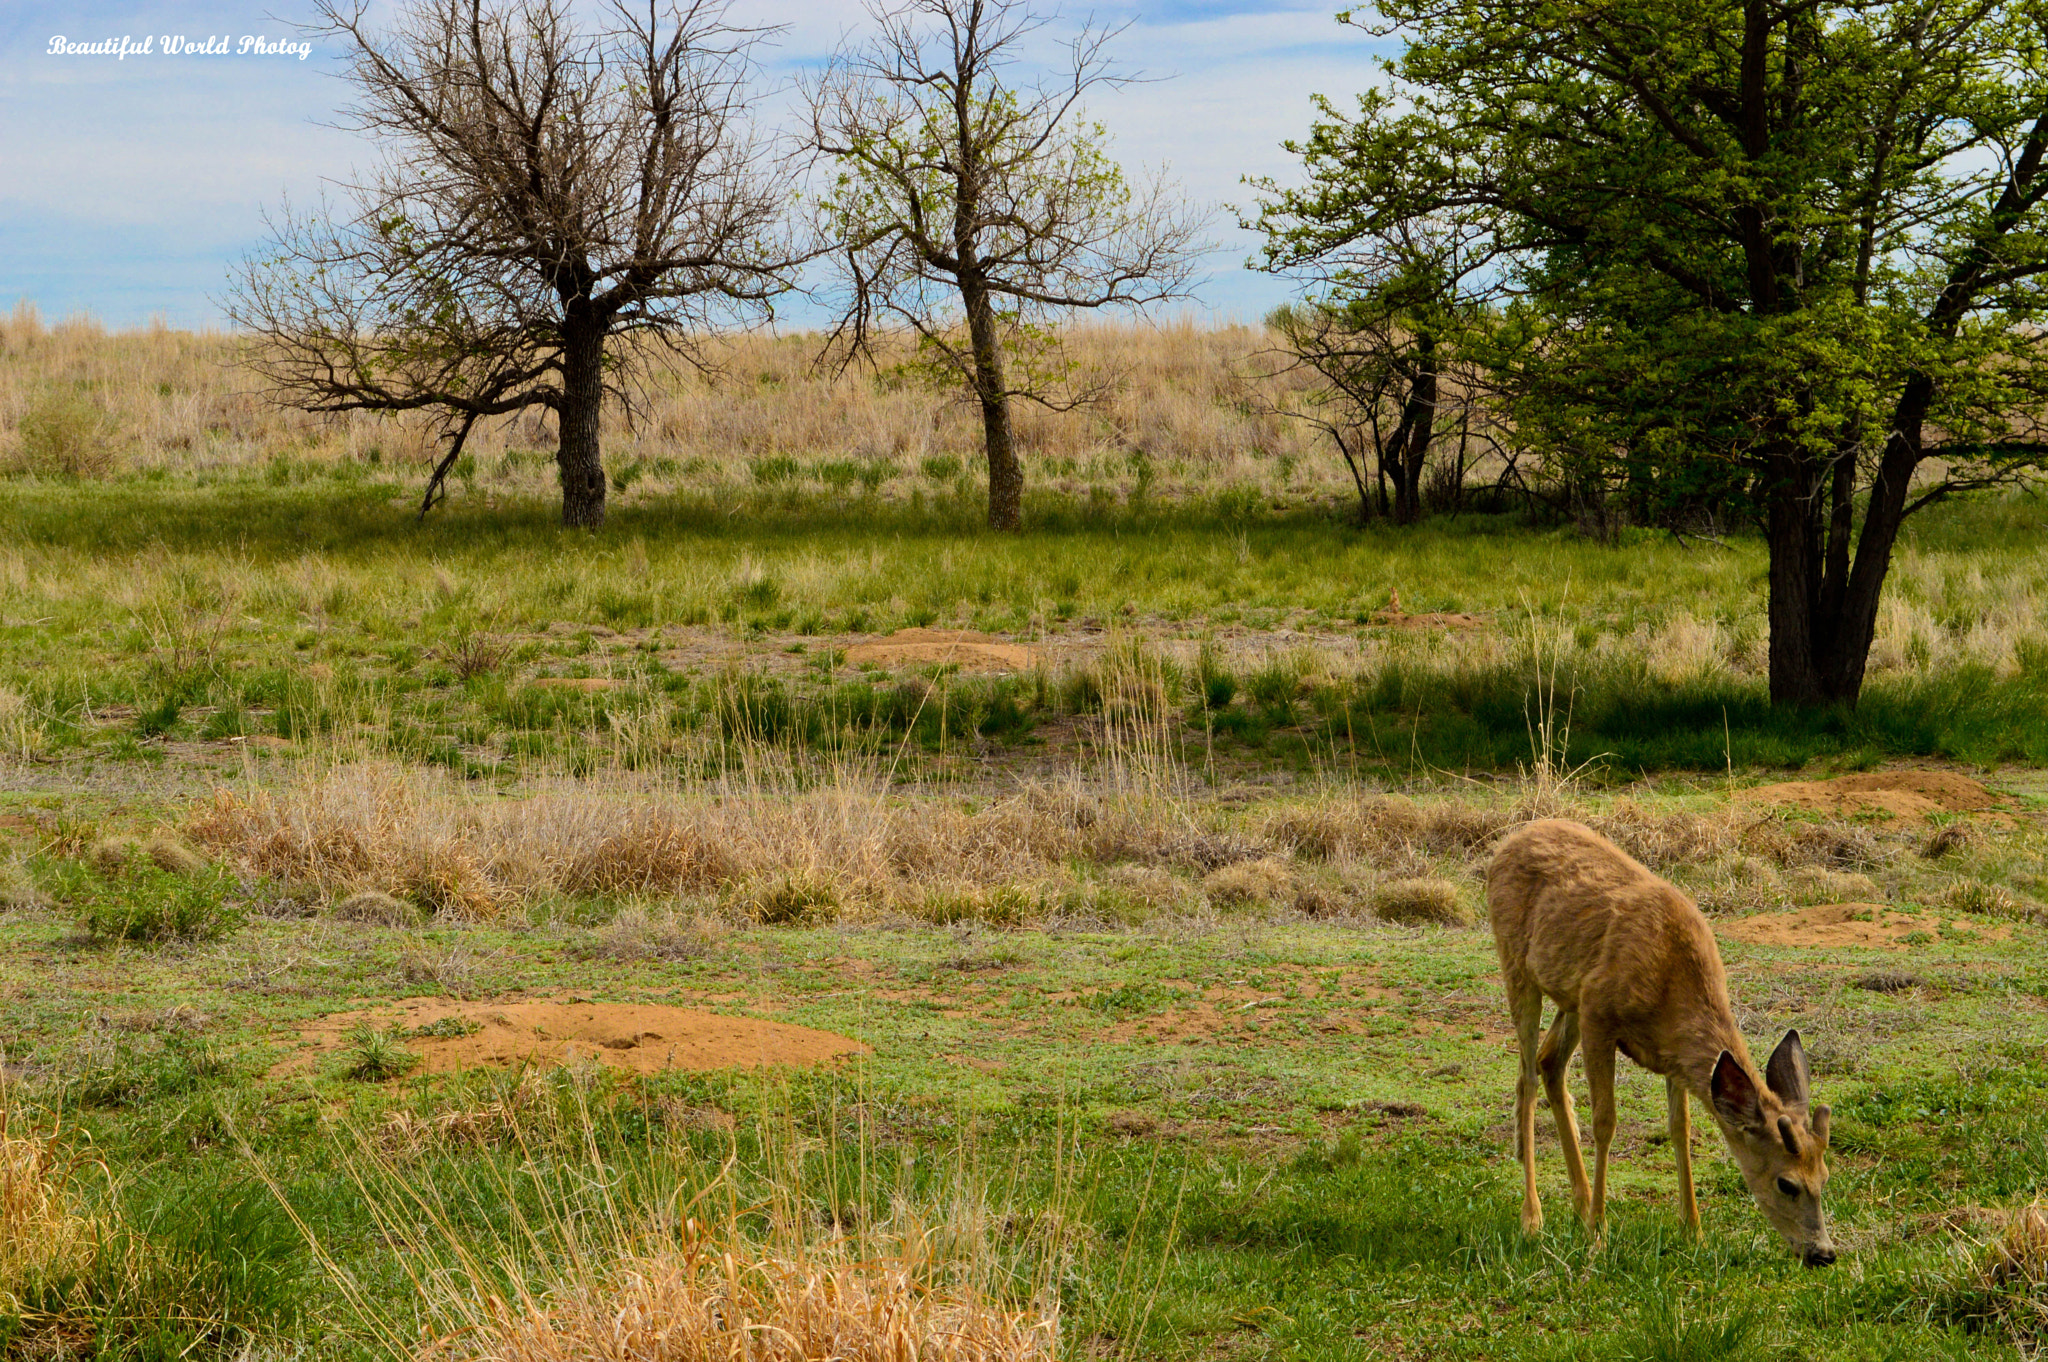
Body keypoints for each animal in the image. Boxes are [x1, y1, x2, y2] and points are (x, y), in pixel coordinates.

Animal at [1490, 819, 1843, 1261]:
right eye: (1787, 1183)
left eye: (1825, 1177)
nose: (1823, 1253)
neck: (1673, 986)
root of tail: (1510, 841)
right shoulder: (1599, 1013)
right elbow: (1605, 1122)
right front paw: (1598, 1235)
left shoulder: (1672, 1053)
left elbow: (1680, 1128)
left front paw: (1694, 1231)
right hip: (1518, 966)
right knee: (1527, 1077)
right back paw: (1534, 1218)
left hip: (1569, 995)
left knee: (1548, 1062)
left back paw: (1579, 1204)